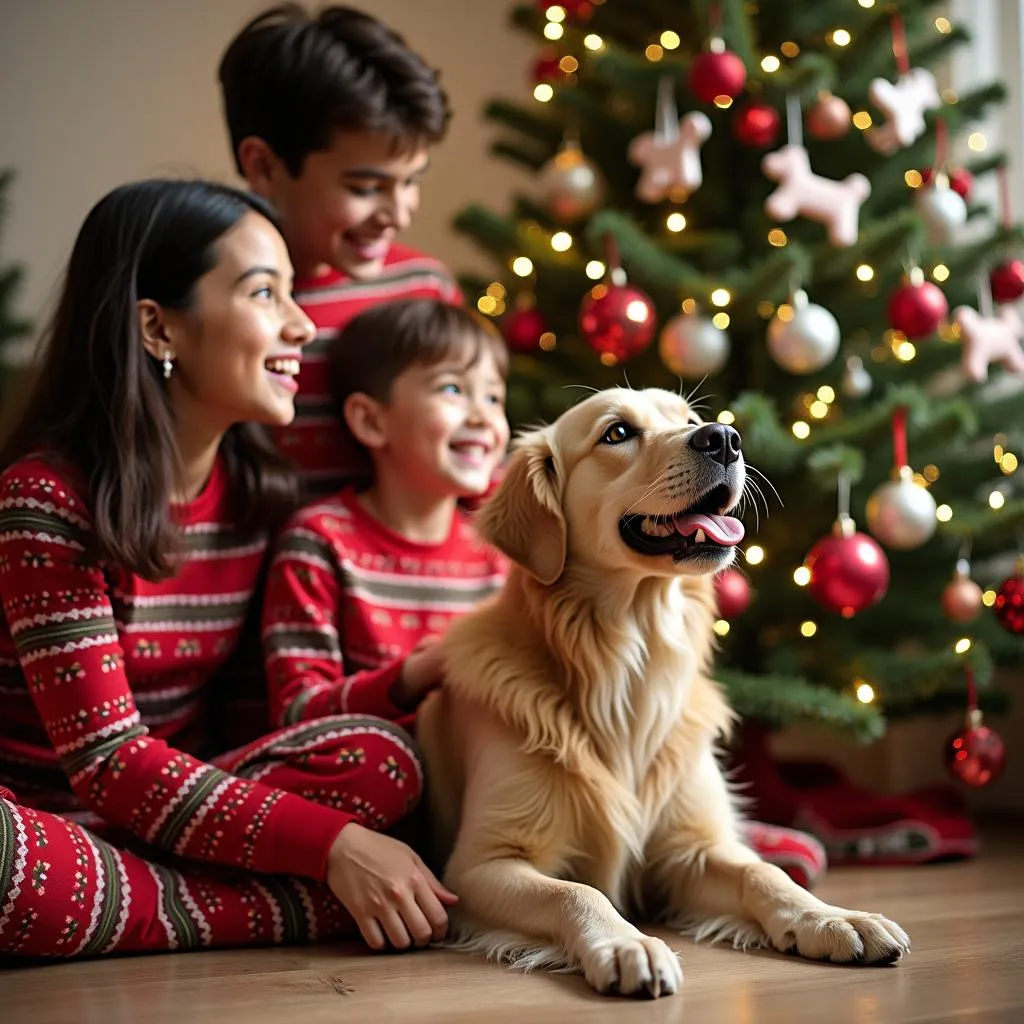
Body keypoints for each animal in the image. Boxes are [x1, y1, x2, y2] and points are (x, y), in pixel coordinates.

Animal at [415, 387, 913, 995]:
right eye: (617, 433)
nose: (725, 438)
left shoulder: (692, 849)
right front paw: (626, 943)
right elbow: (577, 890)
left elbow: (762, 872)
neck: (631, 659)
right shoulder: (479, 865)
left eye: (693, 419)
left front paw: (833, 917)